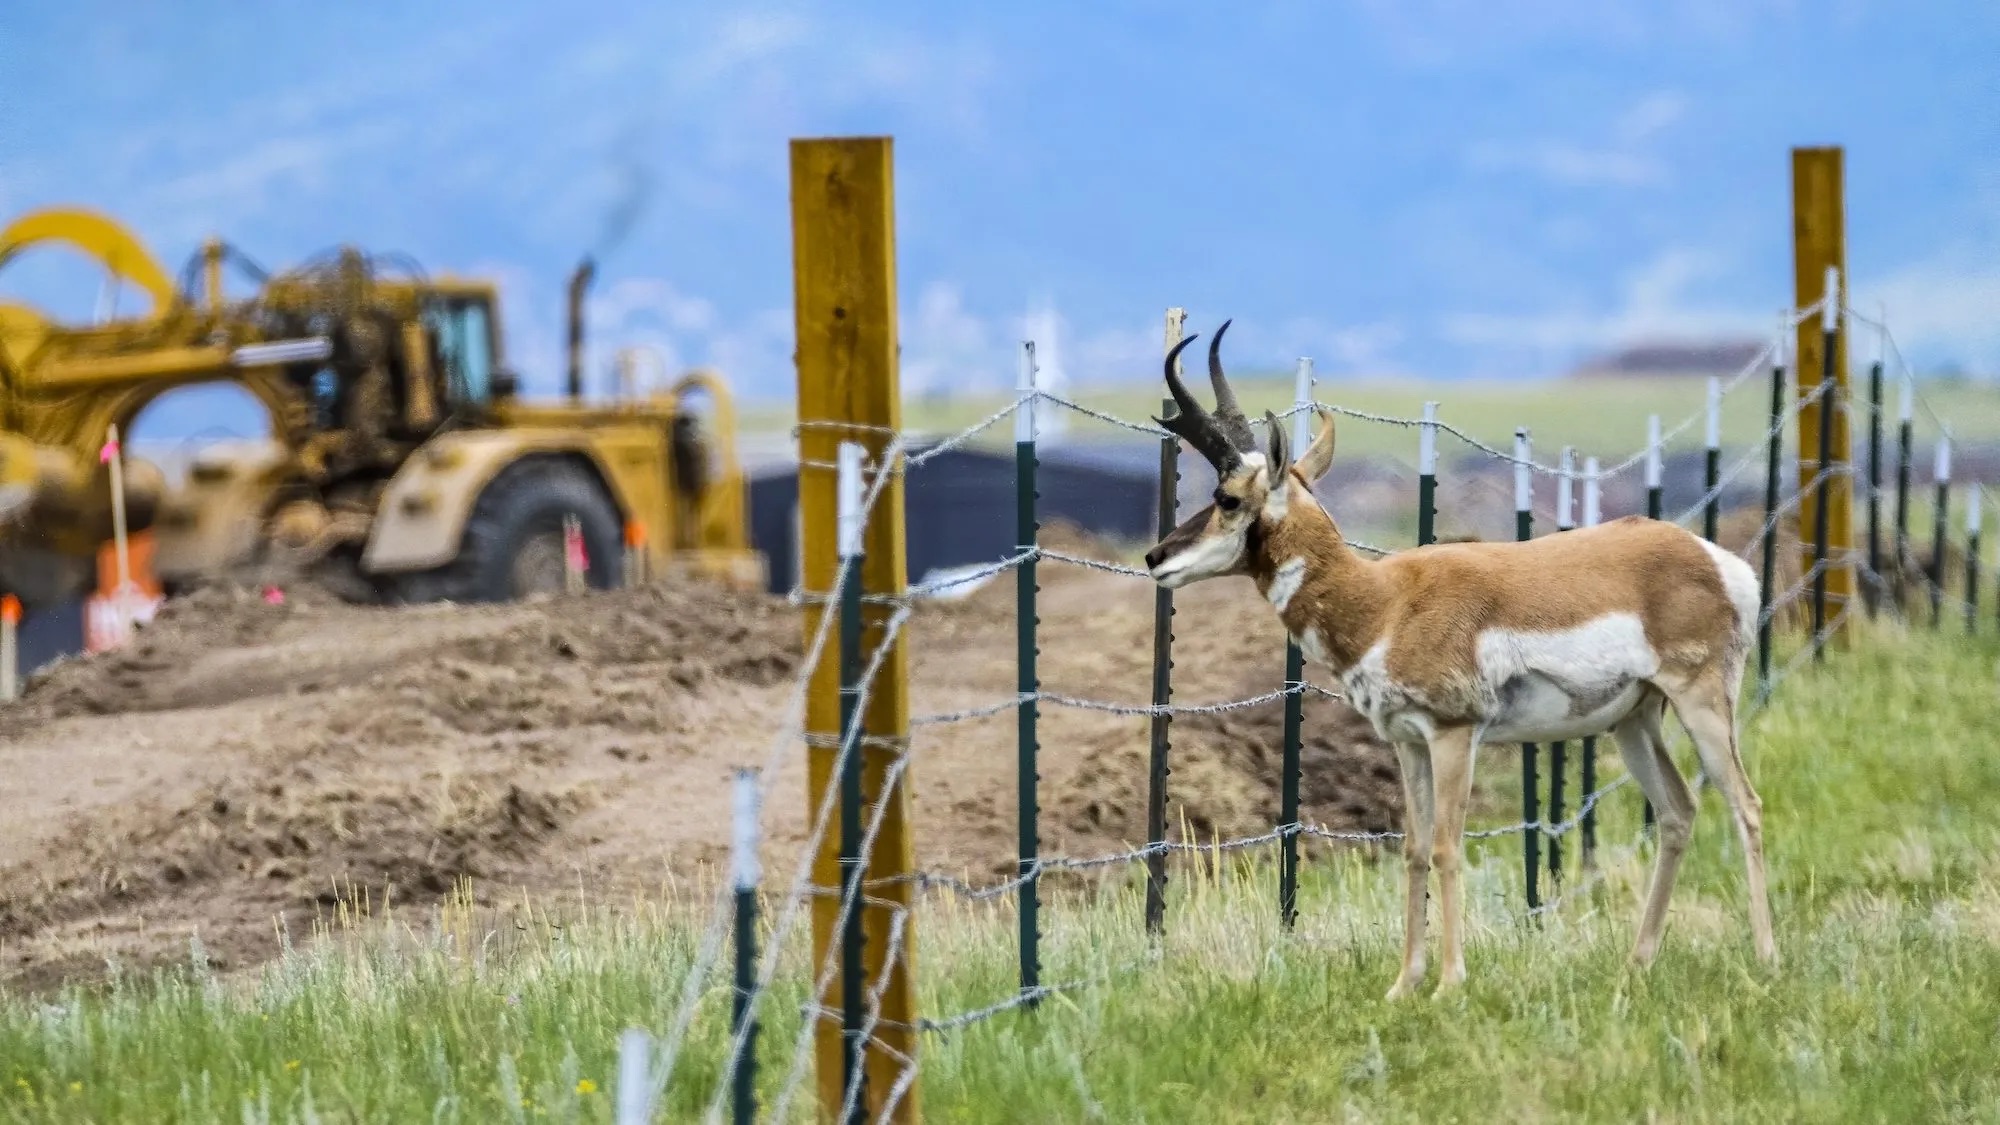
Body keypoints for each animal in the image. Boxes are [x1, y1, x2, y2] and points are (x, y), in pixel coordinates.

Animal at [1142, 322, 1775, 1000]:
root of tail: (1716, 560)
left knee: (1746, 806)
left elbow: (1448, 847)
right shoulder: (1407, 742)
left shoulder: (1453, 735)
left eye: (1228, 497)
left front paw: (1449, 983)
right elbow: (1415, 849)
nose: (1155, 557)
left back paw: (1766, 956)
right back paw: (1638, 962)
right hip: (1634, 721)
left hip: (1701, 703)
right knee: (1679, 811)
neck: (1385, 602)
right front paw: (1403, 986)